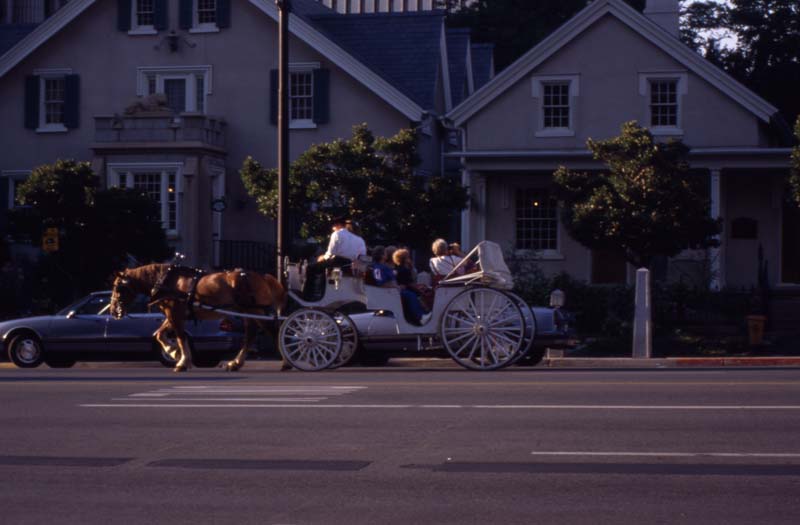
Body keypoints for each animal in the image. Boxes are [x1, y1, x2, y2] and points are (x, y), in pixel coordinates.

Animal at [109, 264, 288, 370]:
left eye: (118, 287)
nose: (112, 311)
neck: (166, 282)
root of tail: (262, 276)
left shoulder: (174, 313)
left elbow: (180, 337)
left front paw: (181, 360)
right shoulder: (173, 314)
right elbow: (159, 334)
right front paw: (173, 352)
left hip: (254, 310)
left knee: (272, 331)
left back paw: (286, 361)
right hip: (248, 311)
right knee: (251, 335)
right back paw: (236, 363)